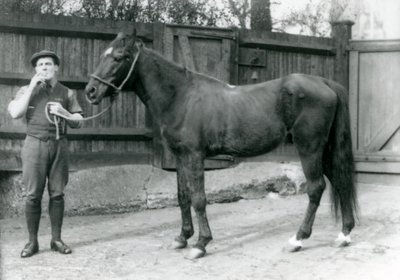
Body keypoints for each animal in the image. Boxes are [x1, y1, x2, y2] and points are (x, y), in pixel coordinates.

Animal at [83, 31, 356, 260]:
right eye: (103, 55)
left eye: (119, 57)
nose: (91, 91)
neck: (181, 97)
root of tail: (325, 83)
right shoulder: (180, 157)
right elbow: (183, 196)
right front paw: (182, 237)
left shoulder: (195, 156)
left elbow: (199, 199)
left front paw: (200, 244)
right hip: (324, 151)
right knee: (340, 182)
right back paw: (344, 235)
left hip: (309, 148)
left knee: (316, 188)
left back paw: (297, 239)